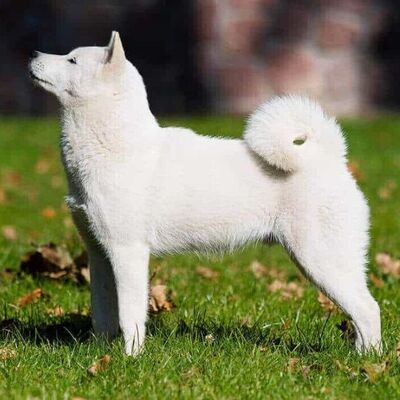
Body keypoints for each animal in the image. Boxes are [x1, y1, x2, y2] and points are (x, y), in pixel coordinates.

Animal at [28, 32, 382, 356]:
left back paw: (367, 362)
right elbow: (102, 313)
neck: (116, 147)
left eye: (72, 60)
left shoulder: (128, 253)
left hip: (321, 259)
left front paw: (130, 359)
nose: (33, 53)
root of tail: (330, 157)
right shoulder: (99, 254)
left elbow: (129, 315)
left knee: (368, 309)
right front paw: (100, 354)